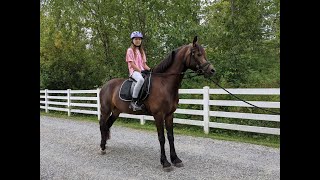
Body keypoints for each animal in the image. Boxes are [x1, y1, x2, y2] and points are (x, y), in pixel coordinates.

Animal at [99, 35, 216, 171]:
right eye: (197, 54)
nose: (212, 70)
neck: (165, 83)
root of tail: (105, 86)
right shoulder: (158, 115)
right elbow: (162, 138)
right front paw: (165, 163)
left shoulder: (170, 115)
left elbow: (171, 137)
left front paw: (176, 159)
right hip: (105, 110)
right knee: (102, 125)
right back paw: (102, 147)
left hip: (116, 112)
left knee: (107, 125)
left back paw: (105, 144)